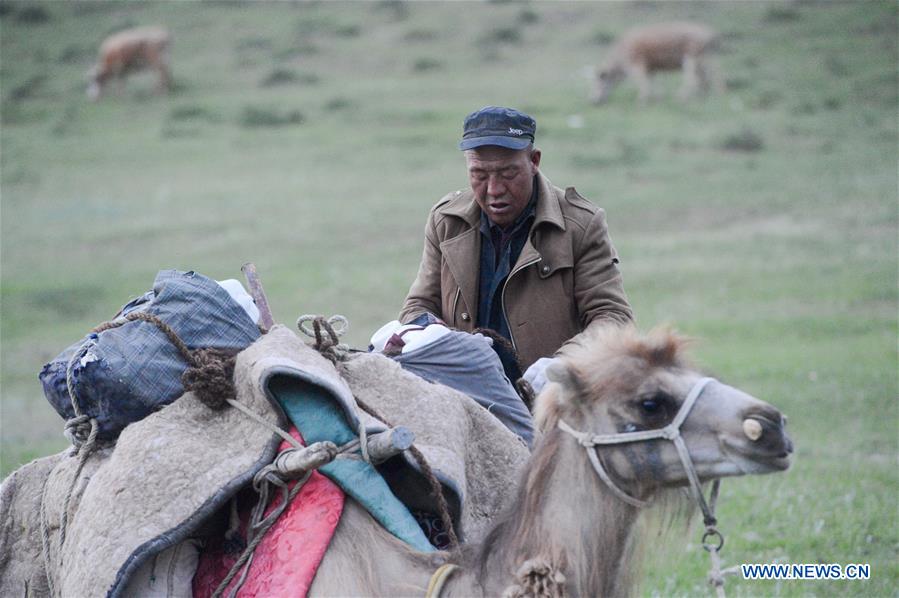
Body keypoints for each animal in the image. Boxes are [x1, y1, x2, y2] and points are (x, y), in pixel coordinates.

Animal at [592, 22, 724, 104]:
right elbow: (653, 84)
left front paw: (641, 101)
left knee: (693, 80)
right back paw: (708, 96)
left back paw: (681, 98)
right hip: (705, 60)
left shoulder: (637, 66)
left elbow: (643, 83)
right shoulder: (651, 69)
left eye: (598, 81)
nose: (593, 101)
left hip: (690, 59)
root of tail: (710, 34)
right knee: (710, 77)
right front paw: (656, 99)